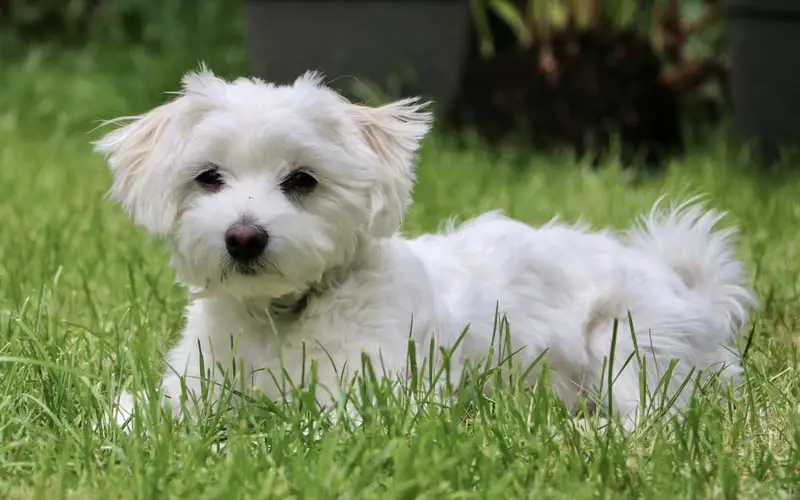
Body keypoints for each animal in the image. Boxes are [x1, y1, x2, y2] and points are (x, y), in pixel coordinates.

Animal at [94, 66, 756, 430]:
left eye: (303, 181)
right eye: (208, 178)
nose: (244, 236)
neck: (283, 318)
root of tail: (685, 286)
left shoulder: (381, 395)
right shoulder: (193, 384)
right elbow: (135, 415)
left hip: (629, 342)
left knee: (650, 419)